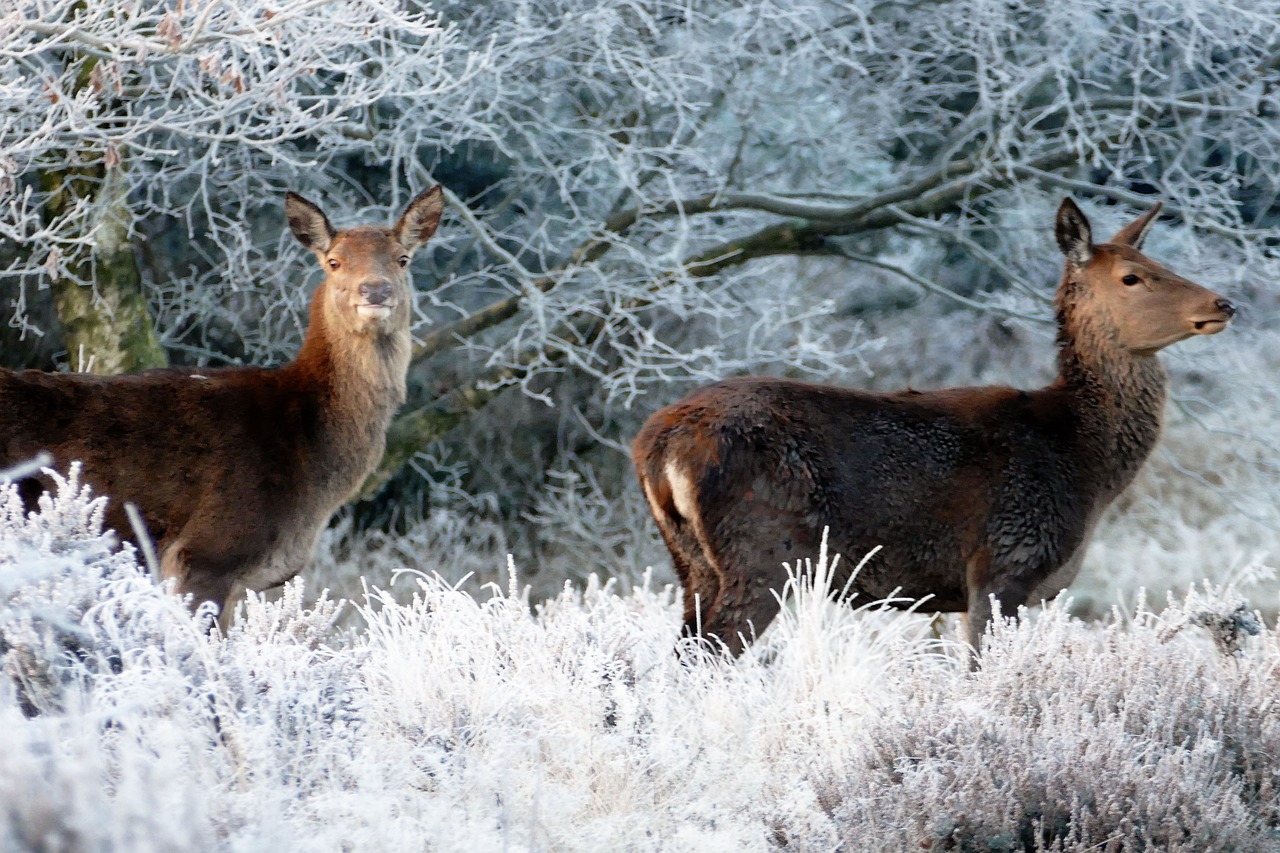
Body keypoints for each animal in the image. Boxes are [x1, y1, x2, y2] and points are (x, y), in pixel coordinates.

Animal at [633, 198, 1236, 657]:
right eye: (1132, 277)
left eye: (1158, 260)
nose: (1222, 303)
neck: (1085, 465)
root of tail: (657, 446)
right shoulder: (1003, 564)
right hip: (763, 551)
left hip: (691, 563)